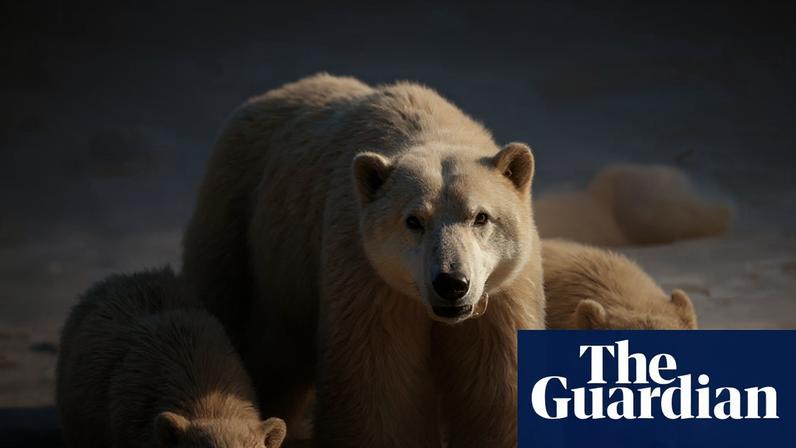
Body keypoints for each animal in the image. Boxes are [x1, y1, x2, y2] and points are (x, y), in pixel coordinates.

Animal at [182, 73, 546, 447]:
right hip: (239, 220)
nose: (451, 283)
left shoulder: (500, 297)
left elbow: (495, 388)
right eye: (414, 220)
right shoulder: (367, 279)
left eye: (480, 217)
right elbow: (374, 389)